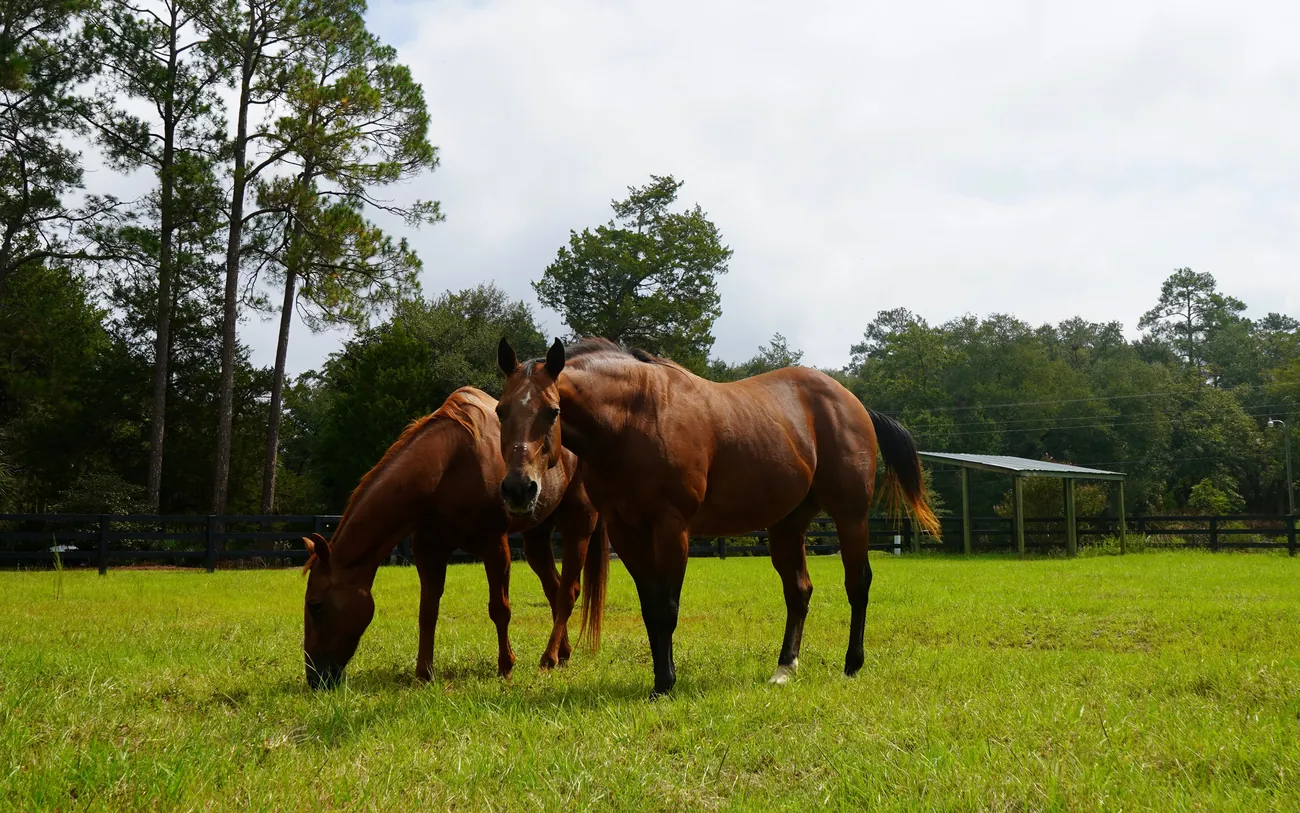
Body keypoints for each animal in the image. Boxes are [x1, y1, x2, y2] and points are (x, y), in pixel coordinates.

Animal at [300, 386, 608, 690]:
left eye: (315, 605)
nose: (315, 678)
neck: (450, 464)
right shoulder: (429, 549)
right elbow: (427, 612)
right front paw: (424, 674)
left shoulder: (494, 545)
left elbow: (500, 608)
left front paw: (506, 666)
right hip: (536, 536)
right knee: (554, 589)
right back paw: (563, 654)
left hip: (577, 528)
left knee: (568, 592)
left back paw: (549, 656)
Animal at [494, 337, 941, 697]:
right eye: (500, 411)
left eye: (552, 411)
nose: (518, 489)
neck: (635, 418)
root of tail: (853, 402)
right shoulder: (626, 532)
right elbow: (650, 608)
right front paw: (662, 678)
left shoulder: (672, 528)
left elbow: (666, 608)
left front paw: (665, 683)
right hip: (787, 525)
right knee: (799, 591)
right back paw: (784, 668)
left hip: (851, 516)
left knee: (857, 584)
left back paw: (852, 663)